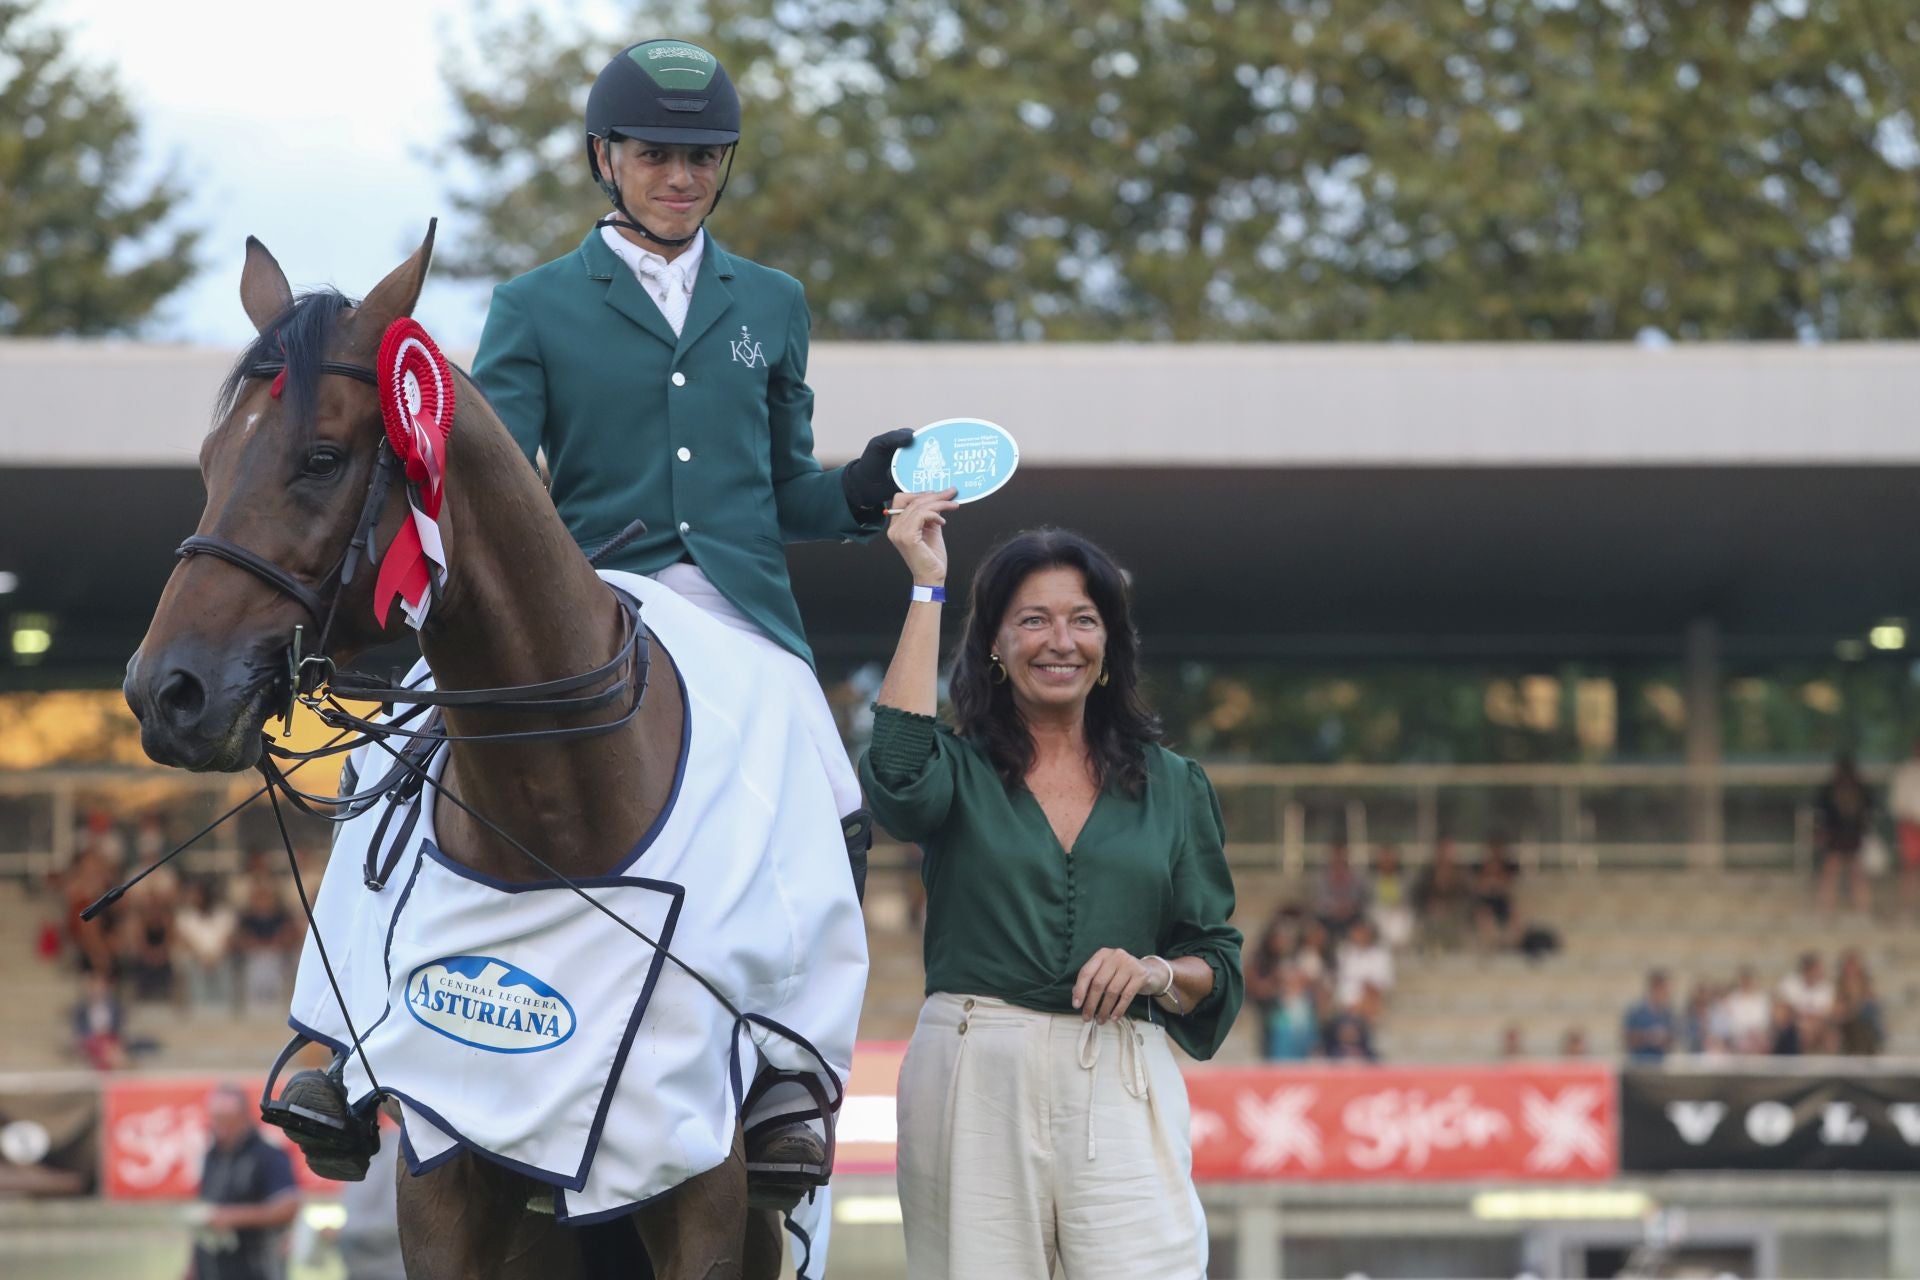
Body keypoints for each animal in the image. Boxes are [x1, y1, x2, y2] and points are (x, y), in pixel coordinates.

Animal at [125, 225, 779, 1274]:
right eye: (208, 462)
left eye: (320, 458)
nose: (165, 692)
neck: (556, 809)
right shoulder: (444, 1163)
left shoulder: (702, 1183)